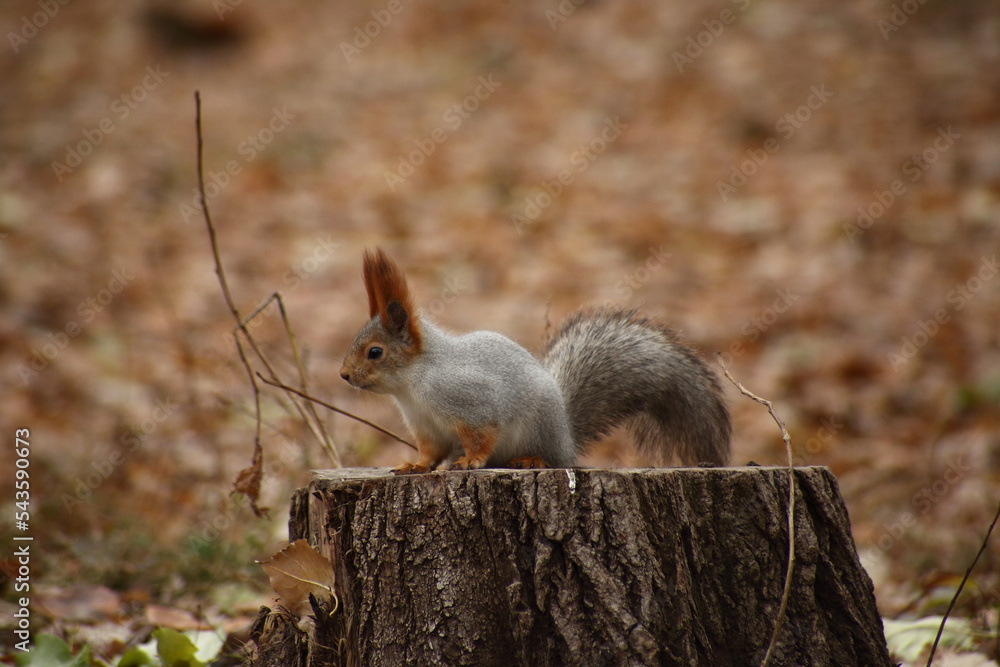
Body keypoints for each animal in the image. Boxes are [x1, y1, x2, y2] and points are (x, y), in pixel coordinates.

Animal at [339, 248, 731, 474]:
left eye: (375, 352)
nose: (343, 375)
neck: (413, 384)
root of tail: (568, 437)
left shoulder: (471, 403)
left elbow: (483, 434)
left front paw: (469, 460)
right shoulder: (426, 428)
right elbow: (429, 453)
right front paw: (413, 466)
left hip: (541, 430)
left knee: (554, 461)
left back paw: (531, 460)